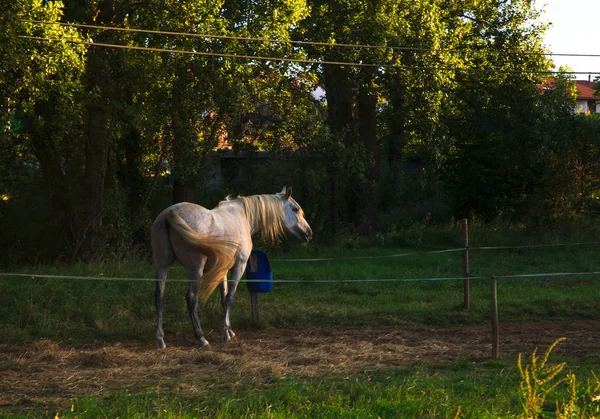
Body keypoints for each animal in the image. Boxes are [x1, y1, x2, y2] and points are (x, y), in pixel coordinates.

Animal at [150, 189, 312, 350]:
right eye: (296, 209)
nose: (308, 233)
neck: (242, 216)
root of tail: (169, 213)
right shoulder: (239, 266)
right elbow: (230, 298)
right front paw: (225, 334)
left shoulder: (223, 269)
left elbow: (224, 297)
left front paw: (229, 331)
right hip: (195, 269)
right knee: (191, 298)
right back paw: (201, 338)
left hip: (162, 266)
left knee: (159, 297)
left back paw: (160, 339)